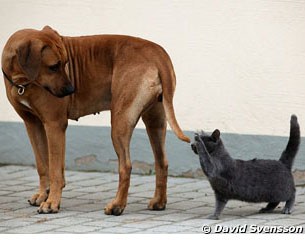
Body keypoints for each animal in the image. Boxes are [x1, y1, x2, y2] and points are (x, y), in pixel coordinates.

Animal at [1, 26, 189, 216]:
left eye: (65, 63)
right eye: (54, 67)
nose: (71, 90)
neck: (22, 81)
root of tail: (158, 54)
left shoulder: (54, 125)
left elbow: (54, 170)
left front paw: (51, 202)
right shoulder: (33, 124)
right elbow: (42, 165)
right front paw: (42, 195)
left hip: (120, 122)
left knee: (126, 166)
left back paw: (117, 205)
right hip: (155, 121)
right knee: (162, 162)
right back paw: (159, 201)